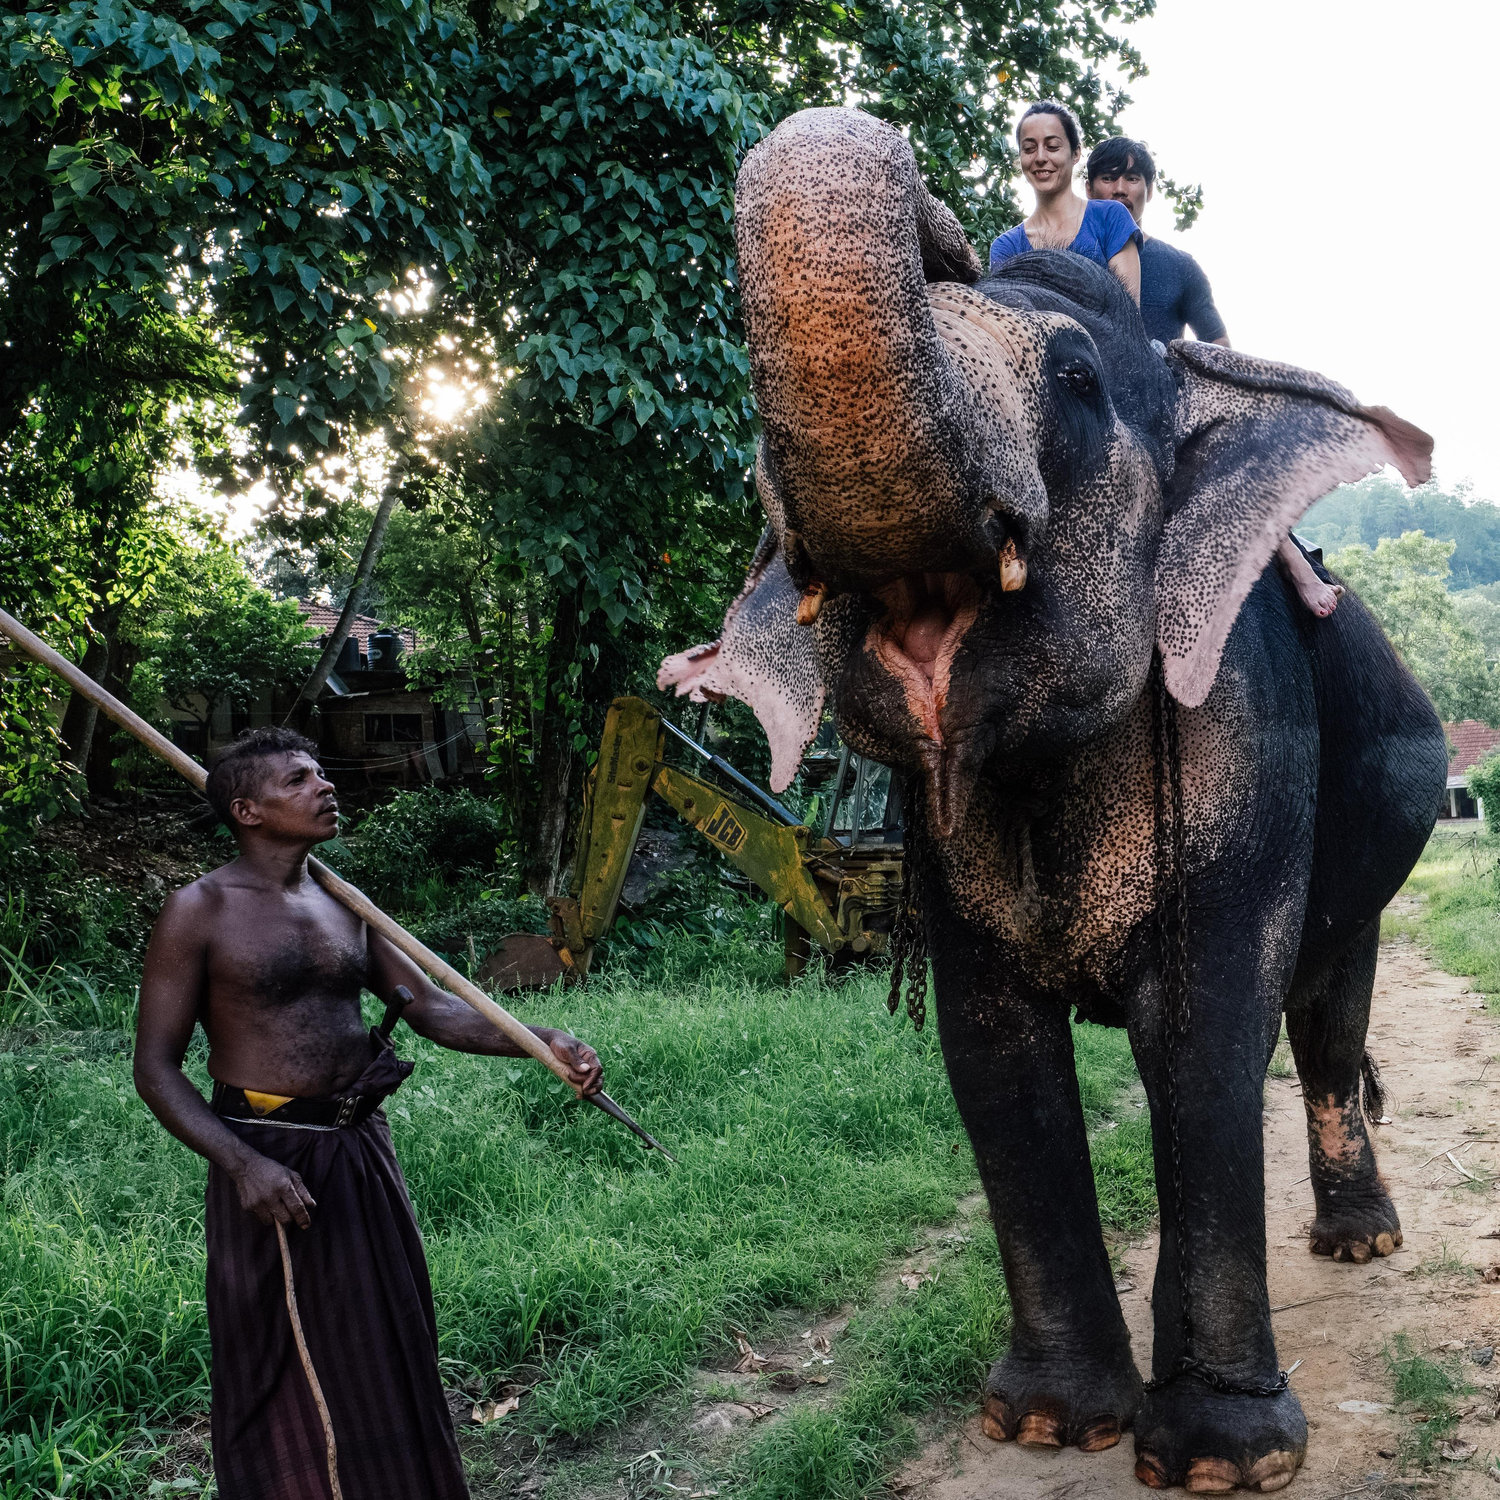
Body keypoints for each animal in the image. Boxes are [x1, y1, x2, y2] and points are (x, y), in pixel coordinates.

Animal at [659, 109, 1448, 1492]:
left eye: (1079, 381)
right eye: (756, 453)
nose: (952, 223)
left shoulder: (1243, 726)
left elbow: (1206, 1033)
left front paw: (1220, 1461)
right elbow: (992, 1047)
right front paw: (1046, 1427)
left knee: (1321, 1022)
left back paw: (1357, 1245)